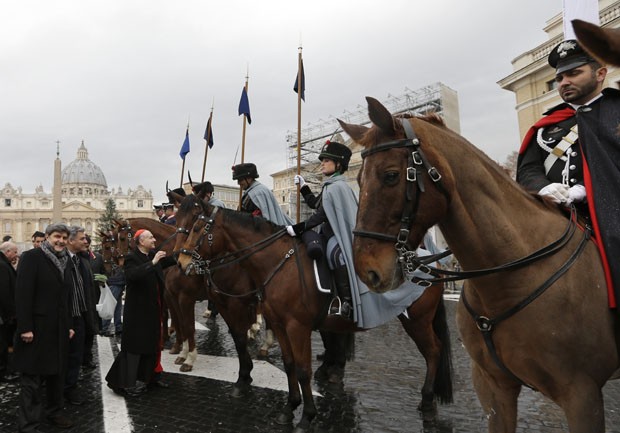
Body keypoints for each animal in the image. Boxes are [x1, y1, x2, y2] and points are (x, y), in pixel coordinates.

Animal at [177, 199, 452, 432]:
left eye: (197, 227)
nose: (180, 262)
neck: (279, 263)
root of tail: (431, 263)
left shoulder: (295, 326)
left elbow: (301, 370)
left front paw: (306, 417)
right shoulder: (279, 324)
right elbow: (288, 364)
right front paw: (289, 408)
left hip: (417, 321)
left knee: (433, 351)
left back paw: (427, 402)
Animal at [342, 96, 616, 430]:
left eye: (391, 175)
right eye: (358, 180)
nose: (366, 270)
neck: (506, 282)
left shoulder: (582, 396)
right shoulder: (493, 387)